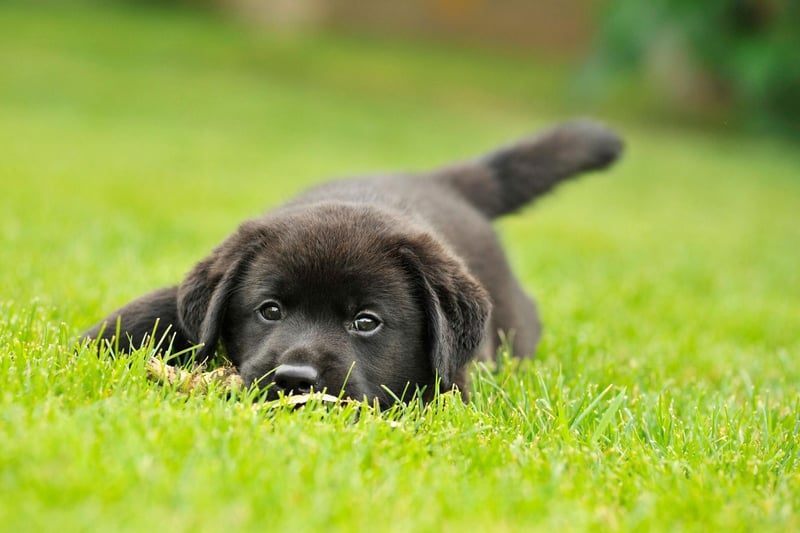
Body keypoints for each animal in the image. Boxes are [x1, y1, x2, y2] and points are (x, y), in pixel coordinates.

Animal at [86, 120, 624, 404]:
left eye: (366, 322)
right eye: (270, 311)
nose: (295, 379)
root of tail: (441, 181)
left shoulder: (455, 379)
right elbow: (143, 315)